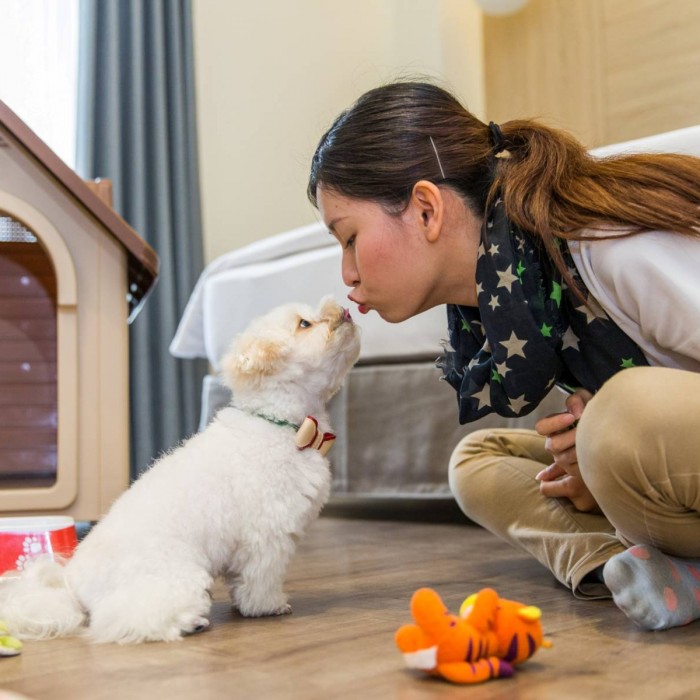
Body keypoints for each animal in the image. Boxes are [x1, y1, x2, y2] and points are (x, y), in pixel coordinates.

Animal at [0, 298, 360, 644]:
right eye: (304, 324)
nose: (344, 310)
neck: (281, 426)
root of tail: (71, 581)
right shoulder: (267, 536)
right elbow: (261, 580)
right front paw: (268, 606)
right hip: (176, 576)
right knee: (126, 618)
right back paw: (188, 623)